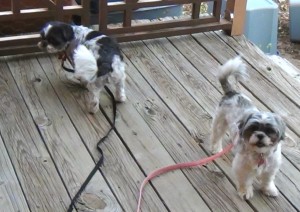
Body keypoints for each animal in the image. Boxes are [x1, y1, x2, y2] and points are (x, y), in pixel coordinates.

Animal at [210, 56, 284, 199]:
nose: (260, 135)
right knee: (217, 136)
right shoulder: (243, 167)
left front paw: (268, 189)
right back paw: (216, 148)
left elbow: (267, 180)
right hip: (220, 122)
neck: (260, 154)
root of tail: (232, 93)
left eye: (269, 131)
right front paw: (245, 191)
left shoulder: (271, 168)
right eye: (253, 129)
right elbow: (245, 180)